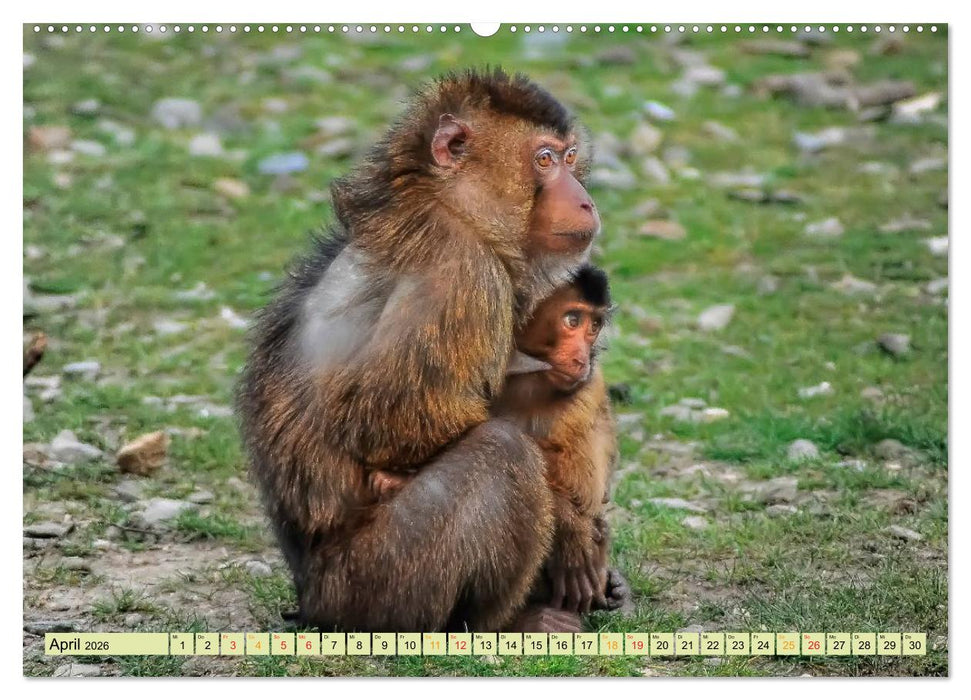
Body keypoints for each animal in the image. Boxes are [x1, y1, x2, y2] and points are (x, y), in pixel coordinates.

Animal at [237, 69, 601, 634]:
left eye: (570, 156)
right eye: (544, 160)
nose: (584, 199)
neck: (452, 206)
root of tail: (310, 598)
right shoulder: (461, 271)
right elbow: (390, 420)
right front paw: (568, 522)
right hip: (375, 585)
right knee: (503, 452)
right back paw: (503, 623)